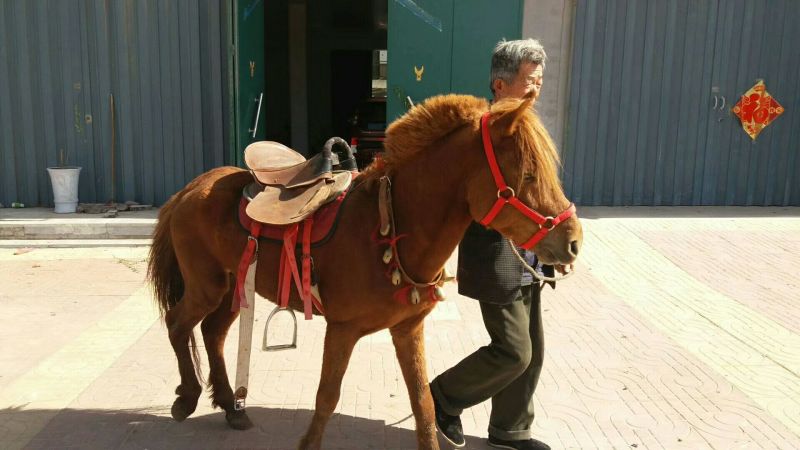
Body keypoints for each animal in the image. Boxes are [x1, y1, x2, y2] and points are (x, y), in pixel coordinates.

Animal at [147, 93, 582, 449]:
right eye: (527, 175)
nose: (573, 241)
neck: (389, 228)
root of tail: (191, 189)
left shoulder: (407, 328)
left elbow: (423, 403)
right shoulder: (342, 330)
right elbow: (326, 398)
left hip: (233, 286)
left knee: (213, 333)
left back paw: (229, 404)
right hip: (206, 286)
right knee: (179, 324)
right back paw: (187, 398)